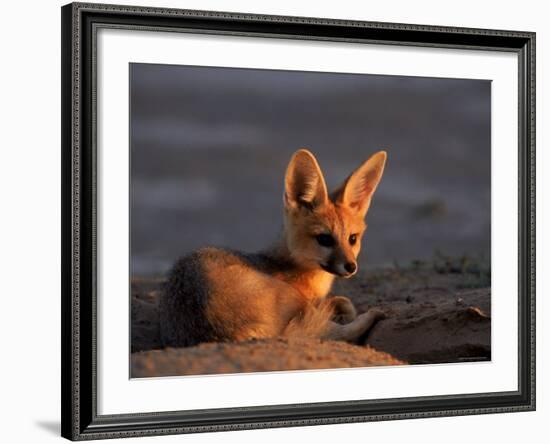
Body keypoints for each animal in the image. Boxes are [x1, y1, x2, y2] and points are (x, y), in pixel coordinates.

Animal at [160, 148, 388, 346]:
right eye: (324, 239)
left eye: (352, 238)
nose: (351, 266)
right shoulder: (305, 306)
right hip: (292, 300)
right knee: (333, 334)